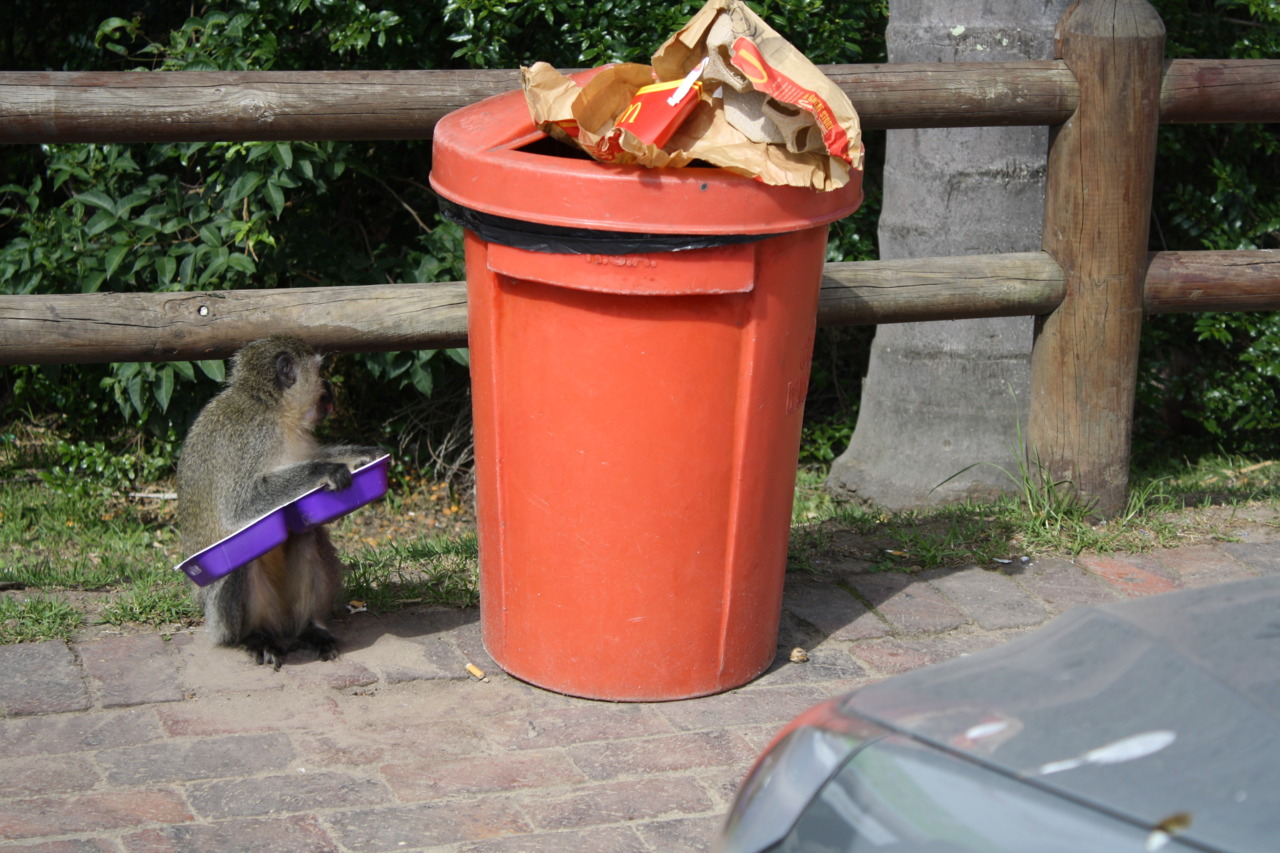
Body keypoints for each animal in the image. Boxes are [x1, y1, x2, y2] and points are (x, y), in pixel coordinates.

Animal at [176, 335, 382, 669]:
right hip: (225, 619)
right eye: (319, 372)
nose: (329, 387)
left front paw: (361, 454)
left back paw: (311, 628)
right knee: (240, 560)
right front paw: (325, 471)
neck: (272, 409)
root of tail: (282, 627)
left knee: (307, 535)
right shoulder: (252, 437)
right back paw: (253, 638)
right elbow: (239, 507)